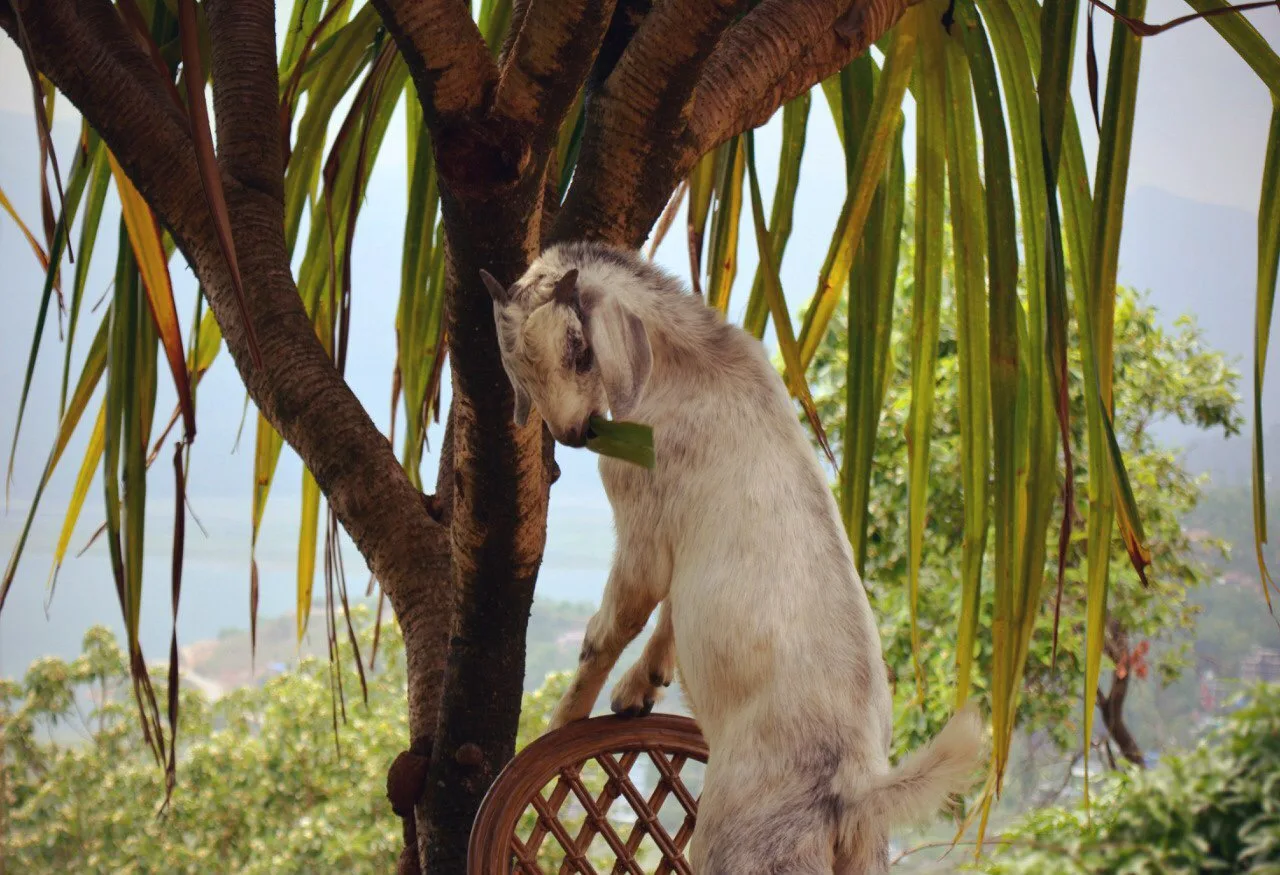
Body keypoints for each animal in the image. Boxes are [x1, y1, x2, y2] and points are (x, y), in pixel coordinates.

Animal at [482, 240, 985, 874]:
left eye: (579, 350)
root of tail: (851, 789)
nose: (574, 432)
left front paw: (562, 723)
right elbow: (672, 611)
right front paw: (640, 689)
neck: (695, 364)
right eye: (514, 364)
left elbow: (614, 623)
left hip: (741, 845)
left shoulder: (641, 514)